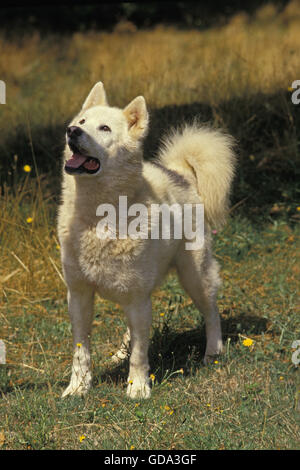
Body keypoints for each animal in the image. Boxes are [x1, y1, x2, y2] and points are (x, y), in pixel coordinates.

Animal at [57, 82, 236, 398]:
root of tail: (180, 174)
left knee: (212, 312)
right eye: (82, 122)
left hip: (194, 277)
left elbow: (141, 354)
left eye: (104, 128)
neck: (98, 217)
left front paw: (138, 388)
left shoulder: (137, 297)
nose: (72, 131)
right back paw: (119, 353)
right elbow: (81, 351)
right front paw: (78, 388)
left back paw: (213, 352)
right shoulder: (79, 295)